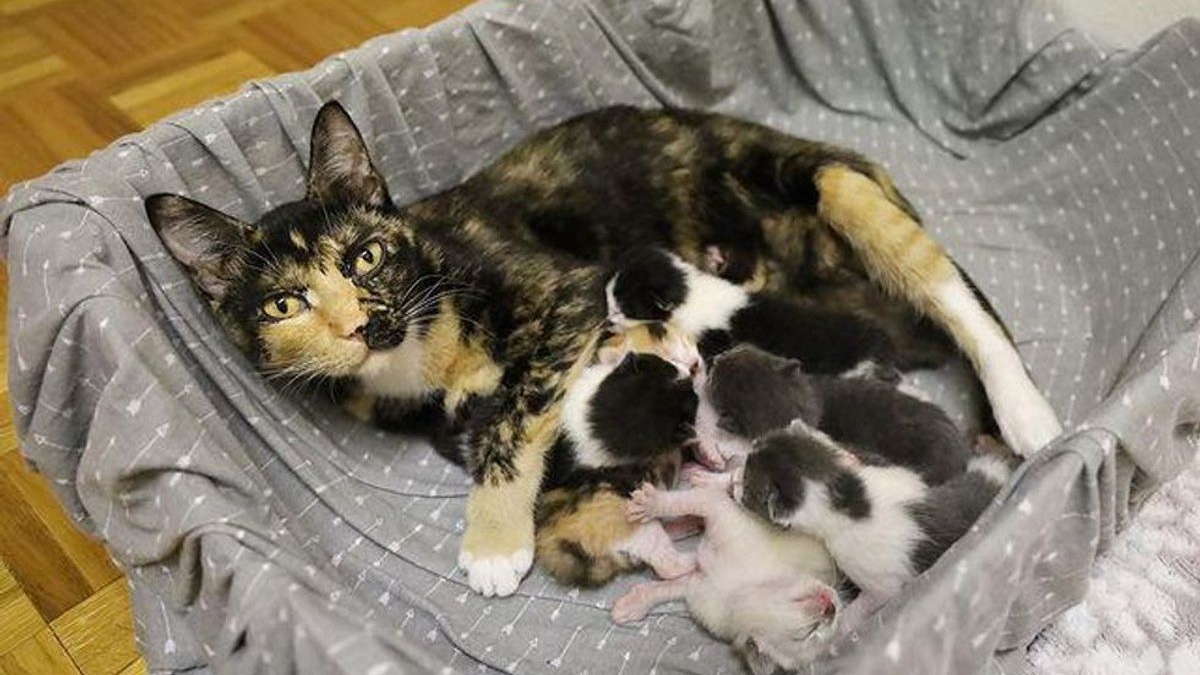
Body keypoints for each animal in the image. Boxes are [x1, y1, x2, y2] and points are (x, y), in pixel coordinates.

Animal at [614, 480, 840, 667]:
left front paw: (631, 604)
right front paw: (650, 505)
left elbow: (666, 588)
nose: (832, 608)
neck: (739, 589)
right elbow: (687, 500)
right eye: (809, 631)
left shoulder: (695, 585)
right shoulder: (719, 510)